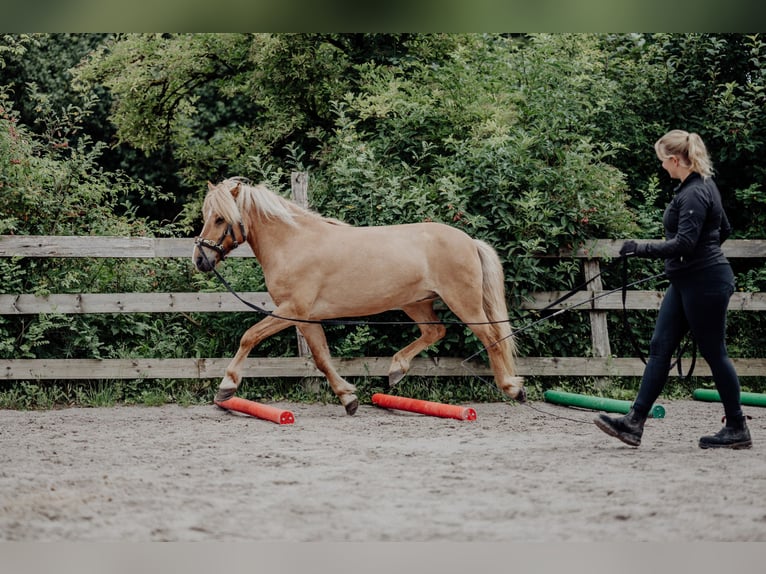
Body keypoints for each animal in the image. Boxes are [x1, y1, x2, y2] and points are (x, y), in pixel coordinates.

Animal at [194, 178, 528, 416]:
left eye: (221, 218)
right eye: (206, 215)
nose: (200, 260)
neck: (293, 244)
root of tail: (469, 241)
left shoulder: (292, 309)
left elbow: (249, 337)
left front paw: (226, 387)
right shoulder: (305, 317)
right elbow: (321, 358)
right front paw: (348, 398)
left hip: (463, 302)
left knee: (491, 337)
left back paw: (513, 388)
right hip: (416, 303)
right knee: (435, 332)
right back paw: (396, 370)